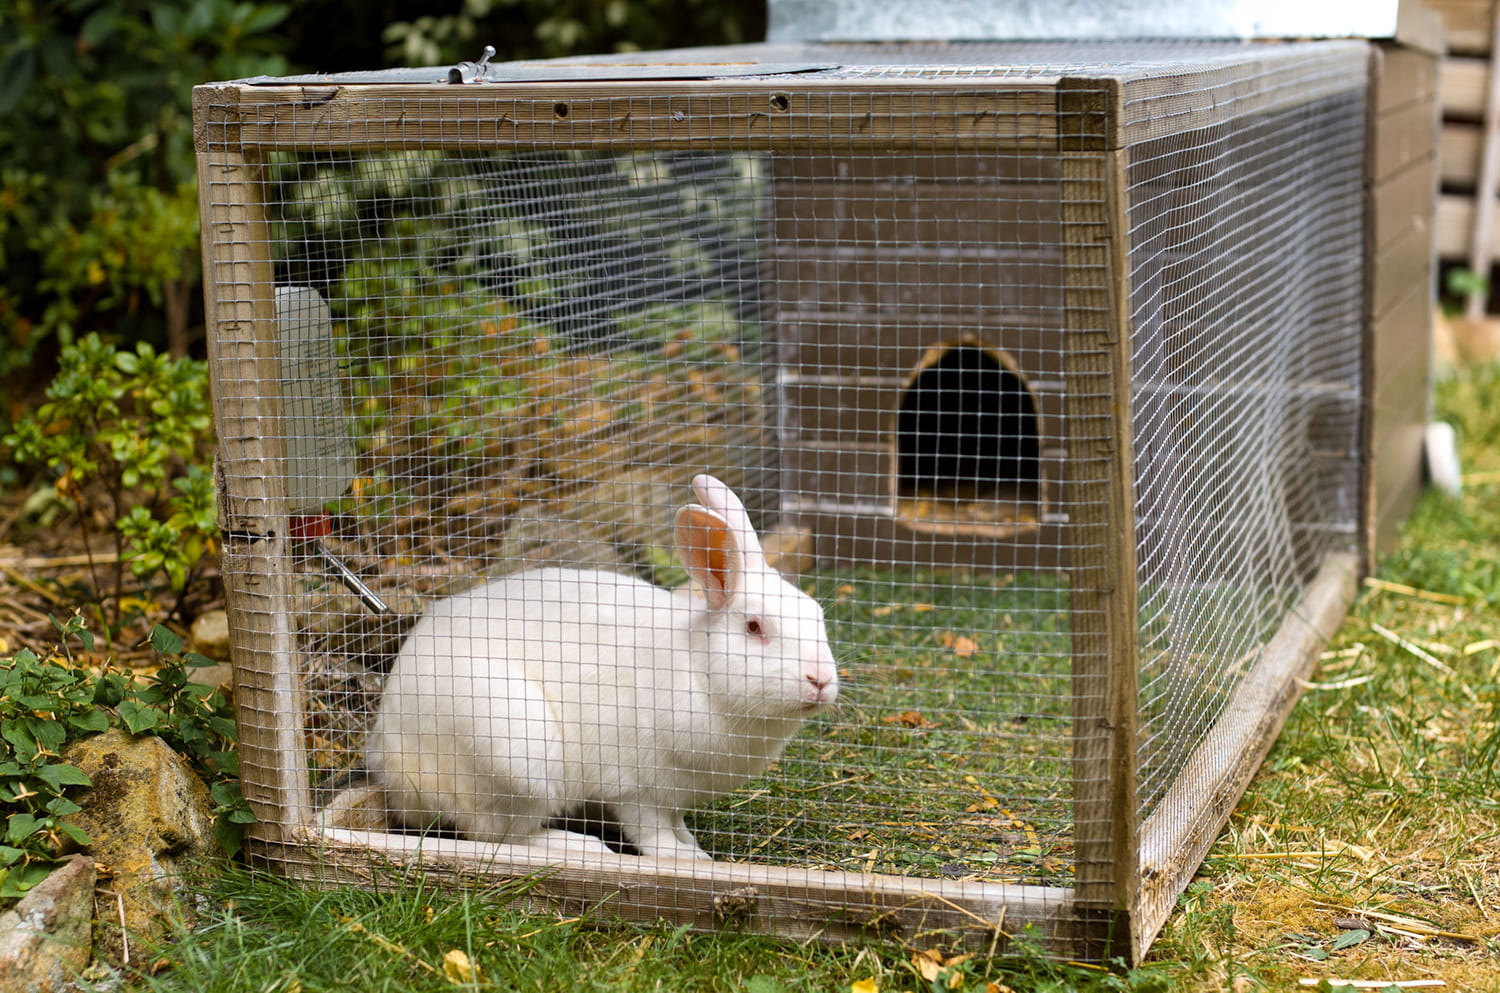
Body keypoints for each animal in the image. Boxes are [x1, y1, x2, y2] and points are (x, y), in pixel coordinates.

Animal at [358, 474, 840, 864]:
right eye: (755, 627)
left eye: (818, 615)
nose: (820, 680)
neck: (700, 672)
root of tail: (389, 762)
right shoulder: (636, 788)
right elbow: (651, 833)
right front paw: (686, 860)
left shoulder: (675, 795)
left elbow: (677, 823)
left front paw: (693, 847)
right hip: (514, 755)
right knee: (499, 835)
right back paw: (580, 846)